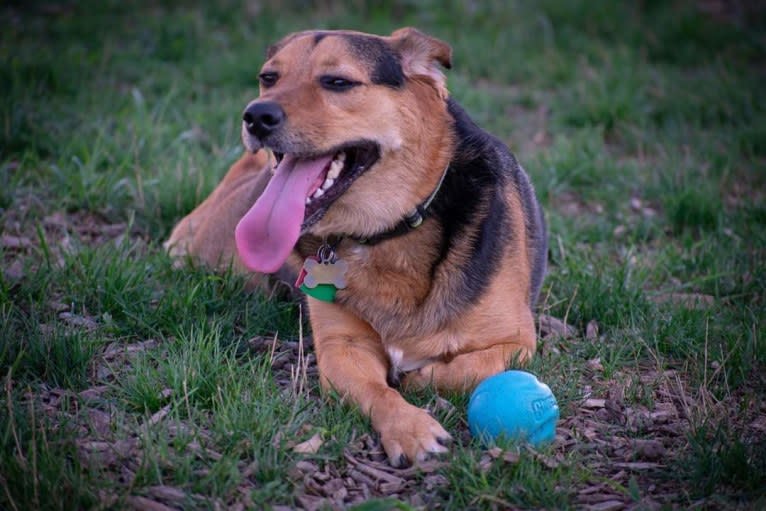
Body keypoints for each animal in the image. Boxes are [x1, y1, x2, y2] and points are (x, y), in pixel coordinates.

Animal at [167, 28, 548, 468]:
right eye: (268, 78)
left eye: (338, 82)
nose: (256, 116)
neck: (386, 232)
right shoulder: (341, 350)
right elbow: (378, 392)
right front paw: (409, 428)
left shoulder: (516, 341)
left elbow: (463, 369)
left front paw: (418, 378)